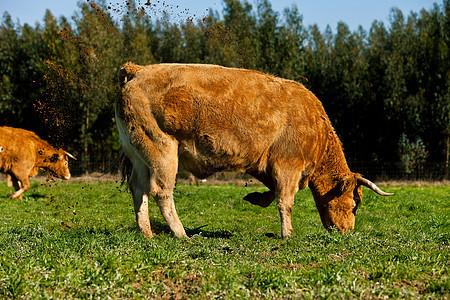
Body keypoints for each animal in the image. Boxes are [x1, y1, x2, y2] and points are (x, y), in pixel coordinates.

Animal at [116, 62, 394, 238]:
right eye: (354, 205)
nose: (347, 232)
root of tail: (138, 71)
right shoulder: (288, 165)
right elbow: (285, 201)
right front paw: (287, 234)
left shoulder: (268, 164)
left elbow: (273, 193)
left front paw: (255, 198)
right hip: (162, 151)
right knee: (161, 192)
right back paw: (181, 233)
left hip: (140, 155)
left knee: (139, 189)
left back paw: (147, 233)